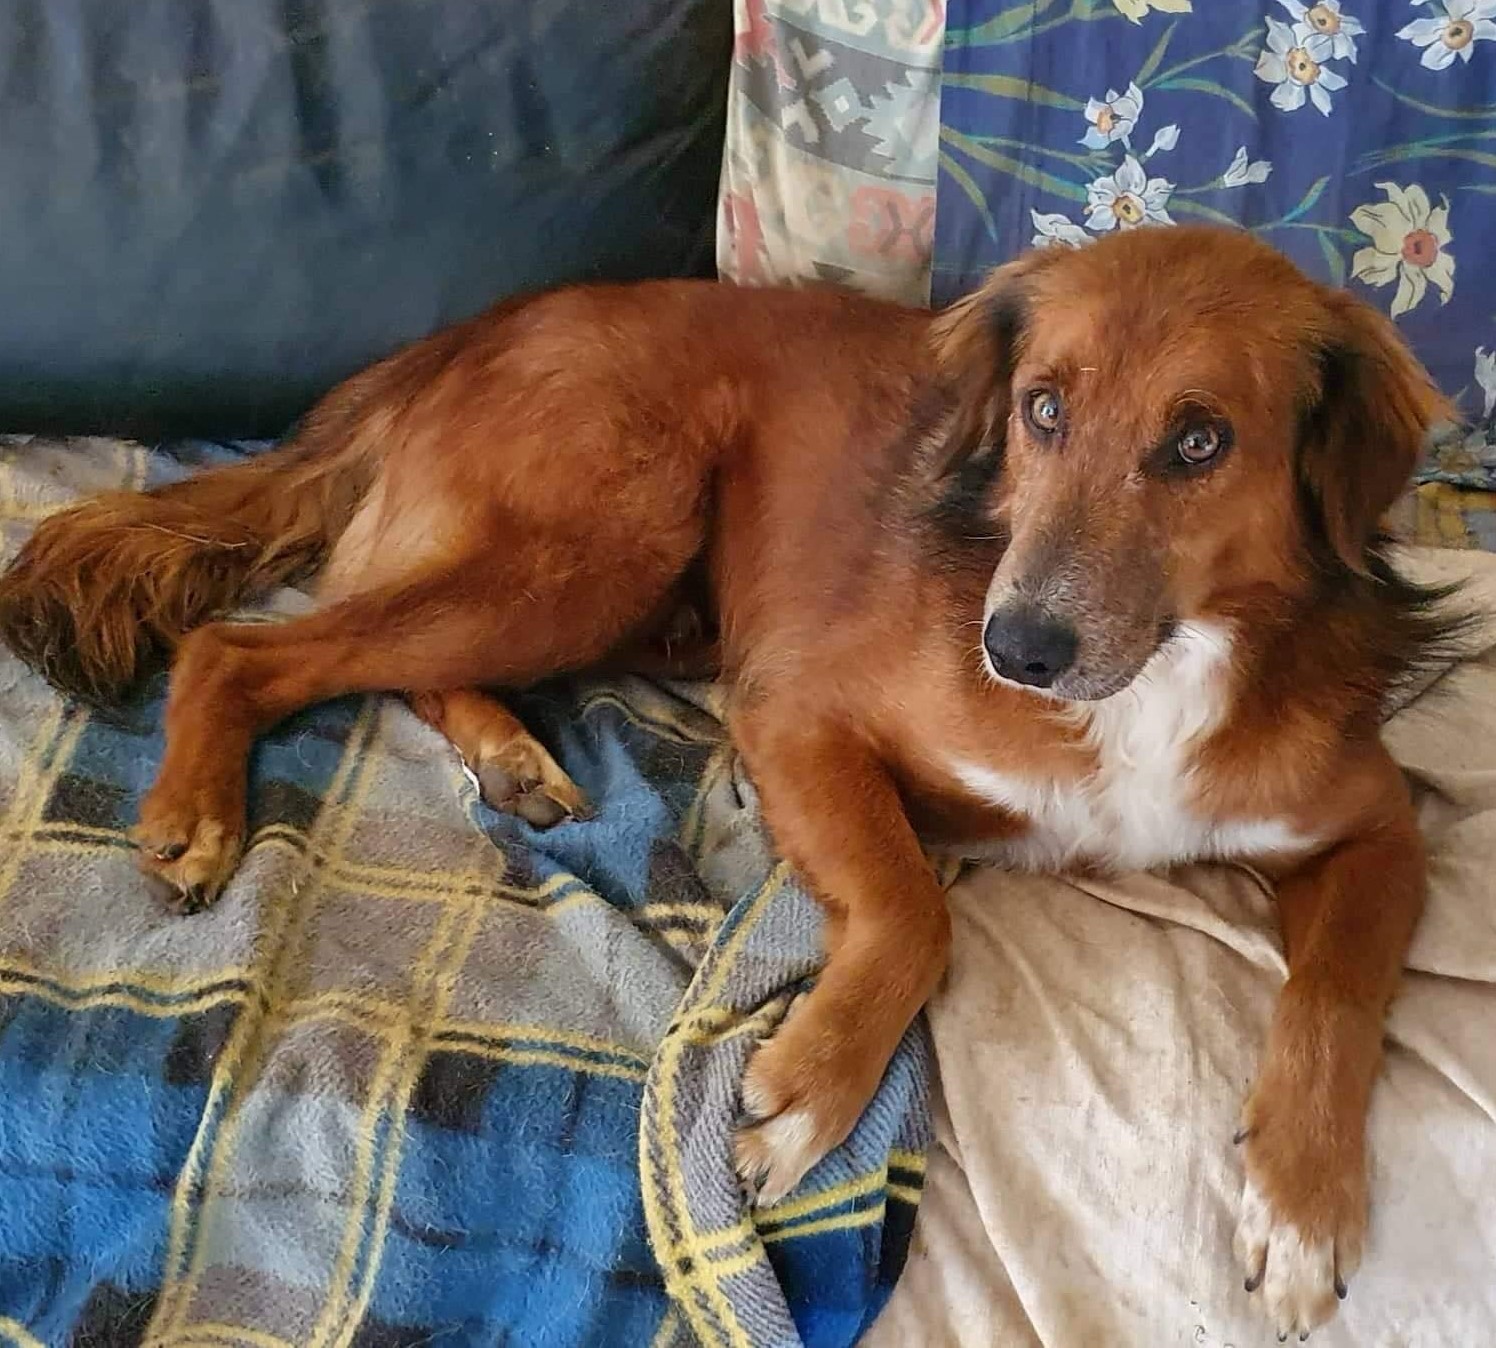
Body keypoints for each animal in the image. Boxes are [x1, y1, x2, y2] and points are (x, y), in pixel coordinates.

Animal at [0, 228, 1460, 1334]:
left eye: (1200, 442)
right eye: (1042, 409)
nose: (1015, 649)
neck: (1154, 676)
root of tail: (468, 333)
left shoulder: (1379, 827)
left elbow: (1335, 996)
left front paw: (1302, 1203)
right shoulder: (796, 711)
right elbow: (913, 907)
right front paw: (811, 1088)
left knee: (376, 646)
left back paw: (507, 756)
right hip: (604, 535)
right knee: (247, 645)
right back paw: (198, 812)